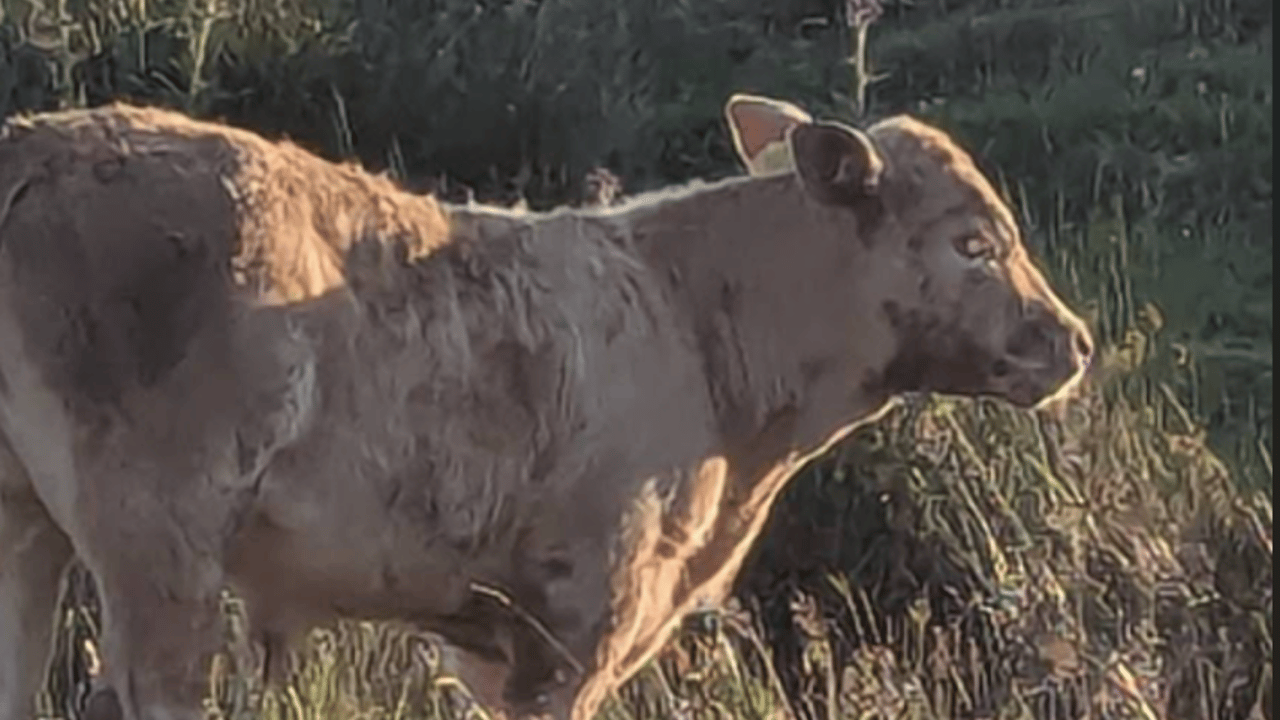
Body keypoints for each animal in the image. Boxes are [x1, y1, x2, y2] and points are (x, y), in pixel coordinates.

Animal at [0, 94, 1092, 720]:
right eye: (972, 244)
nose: (1072, 340)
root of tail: (38, 147)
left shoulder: (497, 640)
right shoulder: (582, 618)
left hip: (28, 528)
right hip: (159, 544)